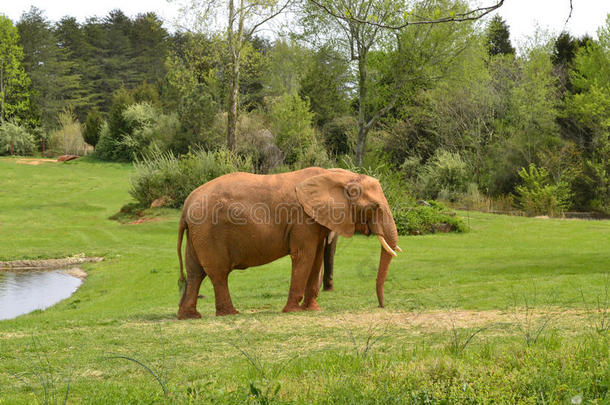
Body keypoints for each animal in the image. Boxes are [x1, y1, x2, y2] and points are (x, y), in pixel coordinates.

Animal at [176, 166, 402, 318]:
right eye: (375, 207)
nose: (381, 306)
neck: (335, 175)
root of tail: (186, 206)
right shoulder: (302, 220)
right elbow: (304, 256)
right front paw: (293, 310)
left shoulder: (315, 221)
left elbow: (316, 257)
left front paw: (313, 309)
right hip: (209, 232)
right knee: (218, 273)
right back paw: (231, 314)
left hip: (198, 234)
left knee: (195, 272)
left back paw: (189, 316)